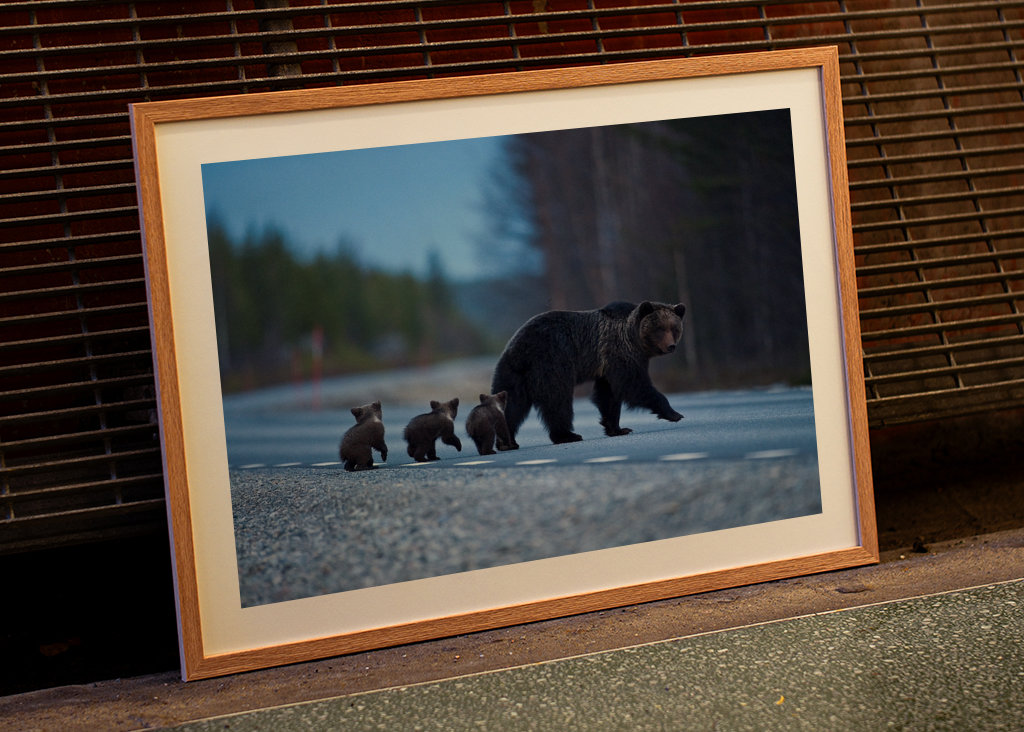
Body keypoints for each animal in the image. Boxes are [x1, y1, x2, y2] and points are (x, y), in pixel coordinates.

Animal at [491, 301, 686, 444]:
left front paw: (618, 428)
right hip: (552, 361)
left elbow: (608, 395)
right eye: (660, 328)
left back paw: (508, 441)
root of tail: (520, 347)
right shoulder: (620, 353)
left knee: (511, 403)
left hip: (512, 372)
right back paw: (567, 435)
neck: (634, 339)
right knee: (557, 400)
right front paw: (674, 413)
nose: (671, 346)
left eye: (674, 328)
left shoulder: (607, 366)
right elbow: (633, 385)